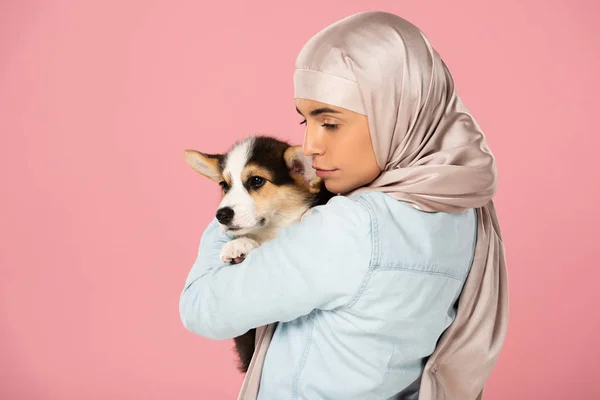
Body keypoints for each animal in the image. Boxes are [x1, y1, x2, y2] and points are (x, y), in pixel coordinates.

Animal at [184, 136, 332, 374]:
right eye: (224, 185)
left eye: (256, 181)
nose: (221, 215)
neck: (273, 231)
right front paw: (239, 245)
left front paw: (309, 213)